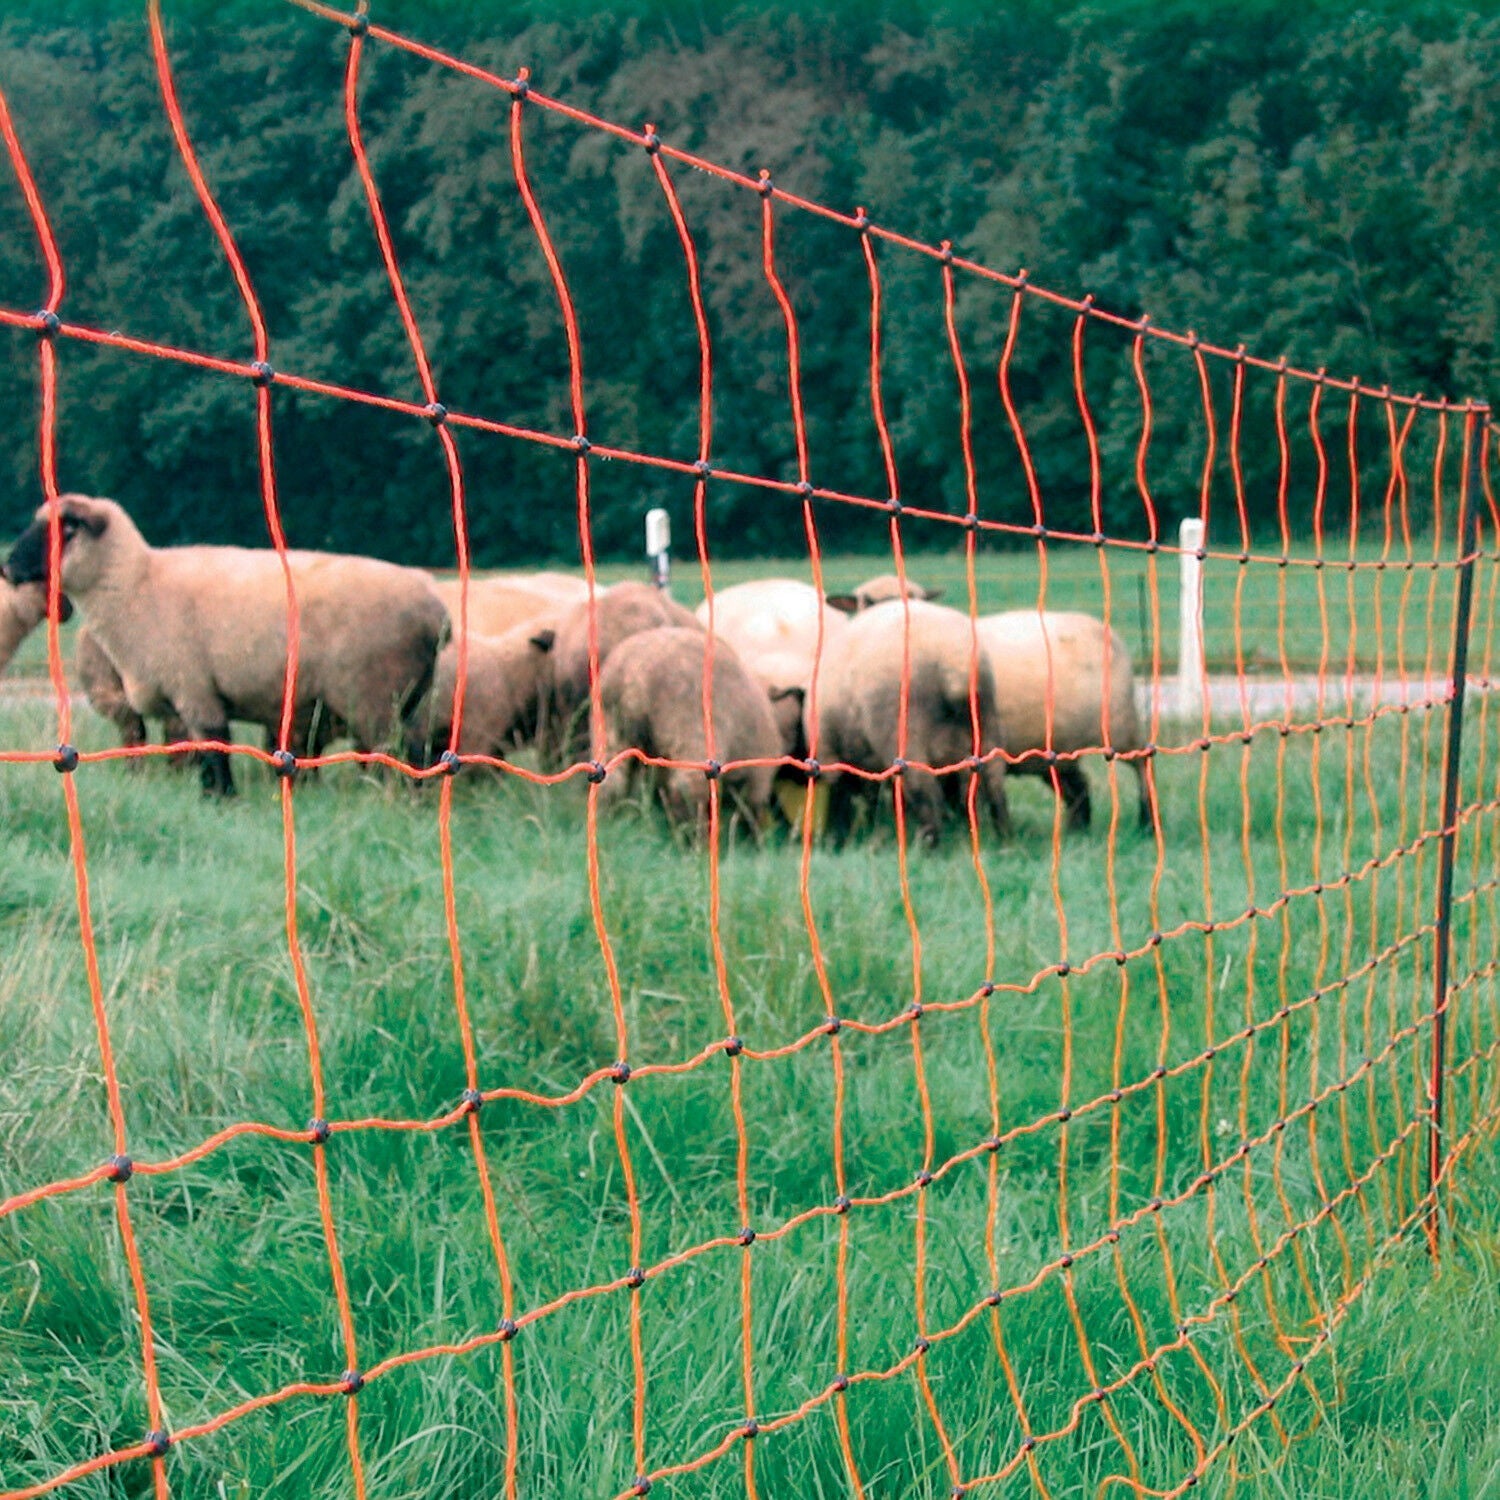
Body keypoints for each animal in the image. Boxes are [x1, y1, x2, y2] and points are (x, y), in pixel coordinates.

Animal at [5, 495, 449, 796]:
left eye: (65, 528)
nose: (7, 568)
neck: (137, 586)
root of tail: (436, 613)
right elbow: (196, 750)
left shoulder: (193, 687)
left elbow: (214, 748)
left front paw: (222, 798)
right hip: (406, 697)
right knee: (416, 749)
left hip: (373, 695)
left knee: (391, 752)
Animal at [598, 626, 780, 835]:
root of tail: (634, 674)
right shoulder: (758, 776)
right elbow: (753, 810)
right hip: (692, 732)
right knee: (687, 790)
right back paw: (692, 838)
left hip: (612, 727)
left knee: (612, 782)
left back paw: (609, 821)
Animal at [807, 597, 1008, 845]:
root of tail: (954, 660)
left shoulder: (831, 754)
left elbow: (839, 799)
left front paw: (838, 840)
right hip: (986, 724)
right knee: (995, 784)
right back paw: (1004, 838)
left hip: (901, 731)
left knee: (924, 791)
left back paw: (927, 843)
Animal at [976, 610, 1154, 830]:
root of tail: (1109, 634)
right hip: (1057, 749)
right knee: (1079, 787)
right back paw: (1078, 830)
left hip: (1120, 724)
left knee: (1142, 763)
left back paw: (1146, 823)